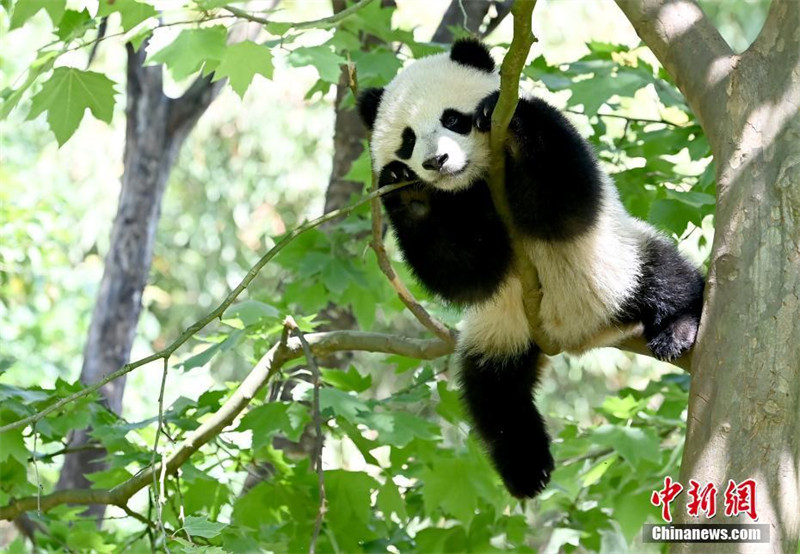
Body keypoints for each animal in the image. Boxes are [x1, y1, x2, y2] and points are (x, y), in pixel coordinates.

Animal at [357, 38, 704, 499]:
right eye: (408, 140)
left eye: (453, 119)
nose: (436, 162)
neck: (474, 184)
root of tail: (577, 335)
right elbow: (466, 275)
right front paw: (410, 193)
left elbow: (560, 200)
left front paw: (502, 114)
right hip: (501, 332)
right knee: (495, 396)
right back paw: (527, 468)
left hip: (617, 262)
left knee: (668, 278)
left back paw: (677, 329)